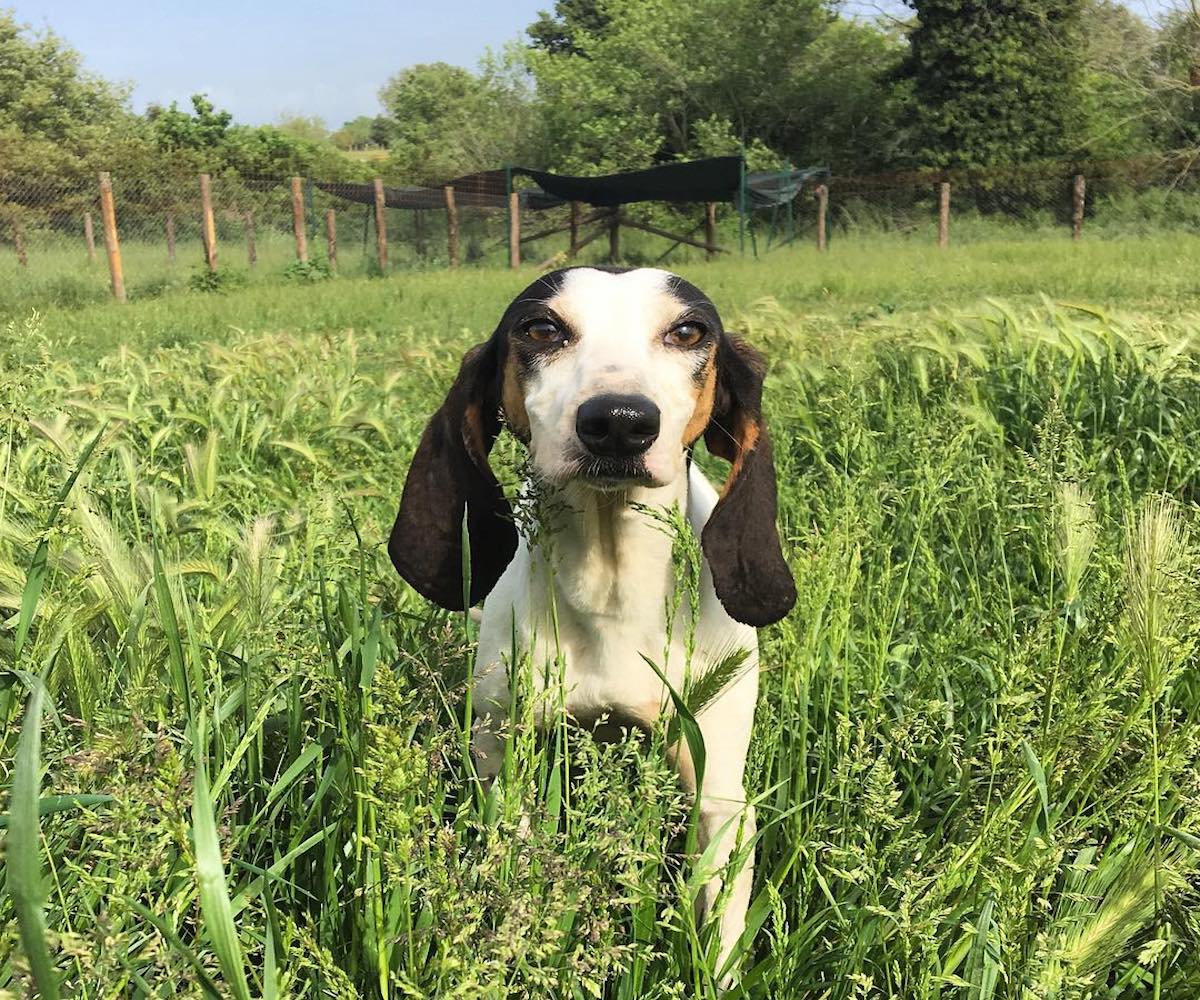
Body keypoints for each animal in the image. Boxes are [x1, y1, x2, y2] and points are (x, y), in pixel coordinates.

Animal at [388, 262, 792, 974]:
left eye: (689, 331)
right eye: (541, 328)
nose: (620, 421)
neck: (611, 589)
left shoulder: (718, 793)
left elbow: (717, 926)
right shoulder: (504, 755)